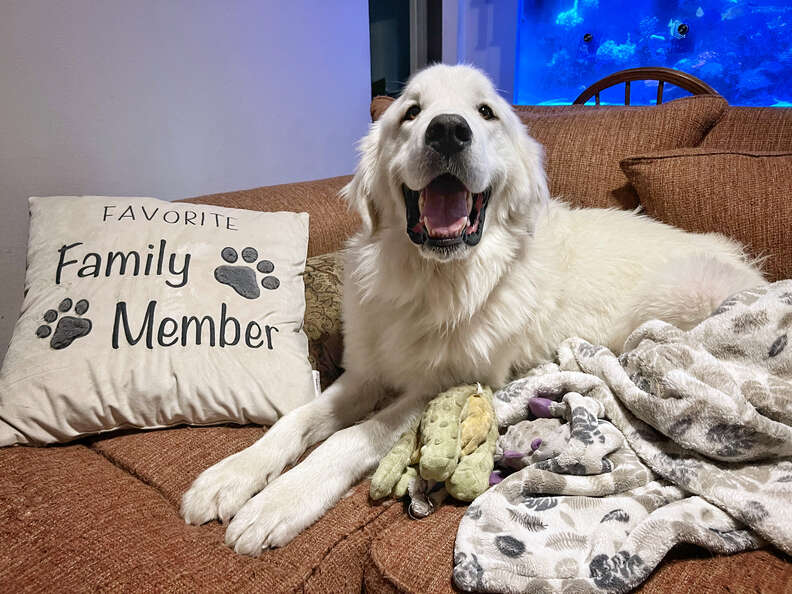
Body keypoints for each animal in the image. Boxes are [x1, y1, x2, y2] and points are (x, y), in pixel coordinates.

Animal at [183, 63, 764, 552]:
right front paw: (231, 475)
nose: (447, 130)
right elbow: (296, 421)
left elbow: (346, 439)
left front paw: (278, 503)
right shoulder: (368, 372)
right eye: (410, 112)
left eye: (485, 112)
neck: (436, 280)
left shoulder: (444, 386)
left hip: (677, 298)